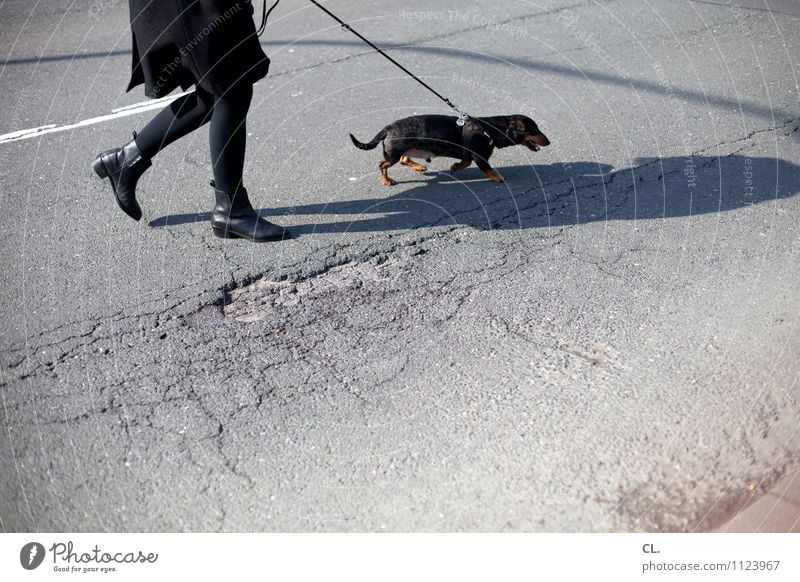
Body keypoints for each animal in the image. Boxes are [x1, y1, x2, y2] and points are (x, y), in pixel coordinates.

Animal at [350, 114, 552, 186]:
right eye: (535, 130)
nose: (549, 141)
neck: (491, 129)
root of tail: (388, 128)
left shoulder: (470, 154)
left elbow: (465, 161)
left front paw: (455, 167)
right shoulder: (481, 157)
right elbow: (487, 169)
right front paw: (497, 177)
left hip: (407, 149)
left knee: (404, 159)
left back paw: (418, 167)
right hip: (393, 153)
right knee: (382, 164)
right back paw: (386, 180)